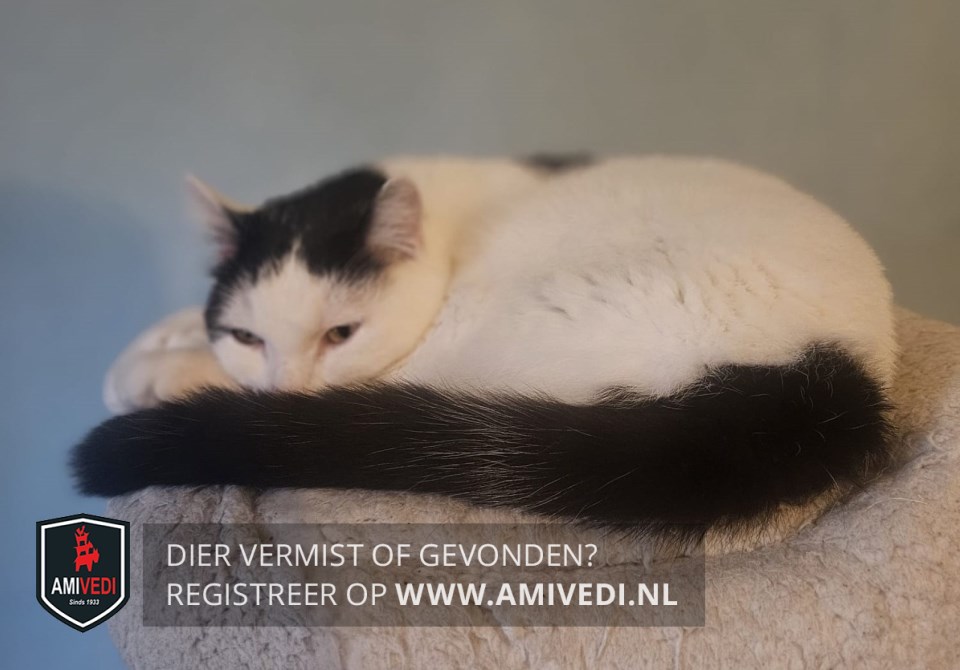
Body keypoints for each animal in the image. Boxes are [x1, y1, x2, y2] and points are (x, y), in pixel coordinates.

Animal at [72, 155, 897, 544]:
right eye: (247, 335)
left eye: (341, 334)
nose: (283, 388)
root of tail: (831, 376)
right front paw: (152, 344)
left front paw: (165, 369)